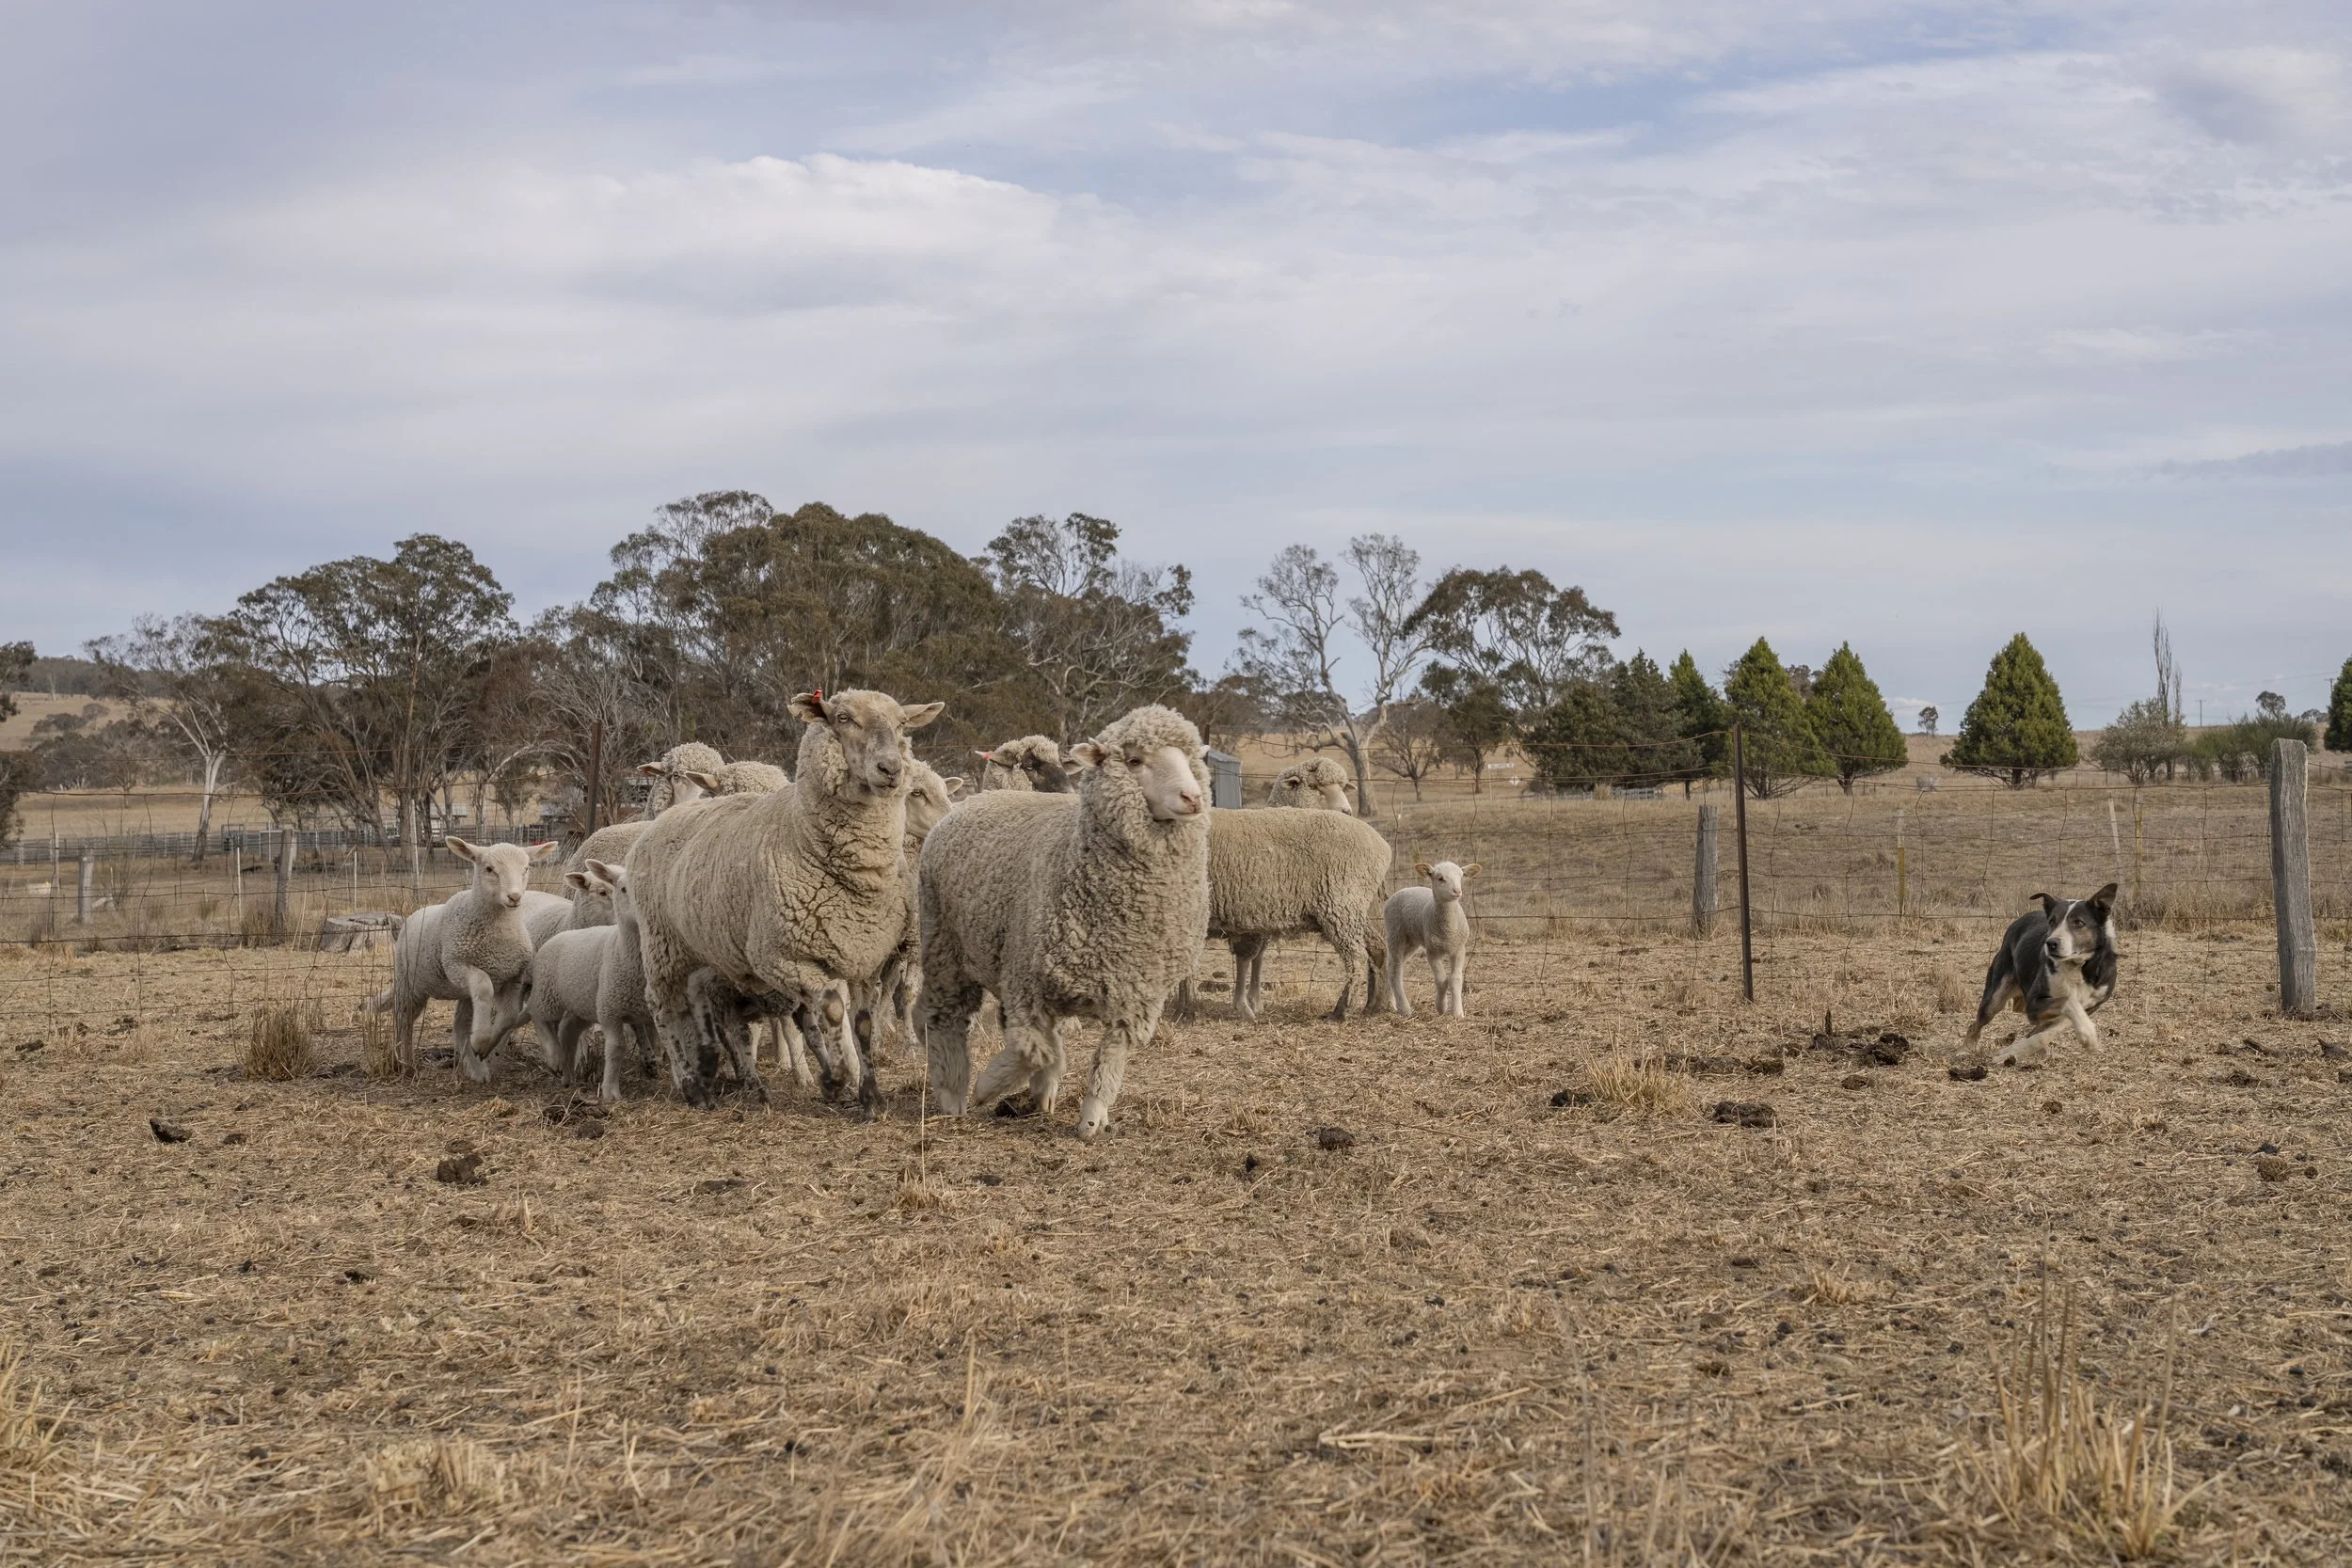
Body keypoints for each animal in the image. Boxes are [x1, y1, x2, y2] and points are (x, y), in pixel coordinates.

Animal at [379, 836, 559, 1079]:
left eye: (526, 868)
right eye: (489, 869)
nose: (514, 897)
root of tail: (415, 914)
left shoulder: (513, 976)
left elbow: (509, 1016)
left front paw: (486, 1046)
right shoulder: (457, 965)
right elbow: (483, 987)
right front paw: (482, 1041)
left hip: (462, 993)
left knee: (460, 1025)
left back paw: (476, 1069)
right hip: (409, 983)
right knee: (403, 1019)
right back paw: (404, 1061)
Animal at [627, 688, 943, 1110]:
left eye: (902, 724)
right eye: (843, 718)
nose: (890, 768)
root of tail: (665, 818)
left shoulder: (864, 957)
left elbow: (861, 1022)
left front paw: (869, 1092)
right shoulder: (780, 958)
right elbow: (831, 1009)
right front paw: (836, 1078)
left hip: (706, 953)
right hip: (662, 944)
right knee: (662, 1007)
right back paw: (689, 1084)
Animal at [919, 704, 1210, 1140]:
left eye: (1190, 760)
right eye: (1134, 761)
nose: (1192, 797)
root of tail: (974, 799)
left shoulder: (1133, 994)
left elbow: (1105, 1059)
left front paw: (1091, 1117)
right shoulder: (1026, 980)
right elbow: (1032, 1050)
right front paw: (989, 1086)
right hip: (943, 944)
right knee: (943, 1017)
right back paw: (953, 1093)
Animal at [1384, 860, 1481, 1017]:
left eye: (1461, 877)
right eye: (1440, 878)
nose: (1457, 891)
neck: (1448, 931)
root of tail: (1402, 890)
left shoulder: (1459, 949)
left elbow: (1455, 979)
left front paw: (1458, 1013)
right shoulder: (1432, 951)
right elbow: (1441, 980)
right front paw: (1441, 1007)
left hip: (1412, 941)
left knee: (1391, 965)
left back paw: (1392, 1003)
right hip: (1395, 933)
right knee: (1395, 969)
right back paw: (1404, 1008)